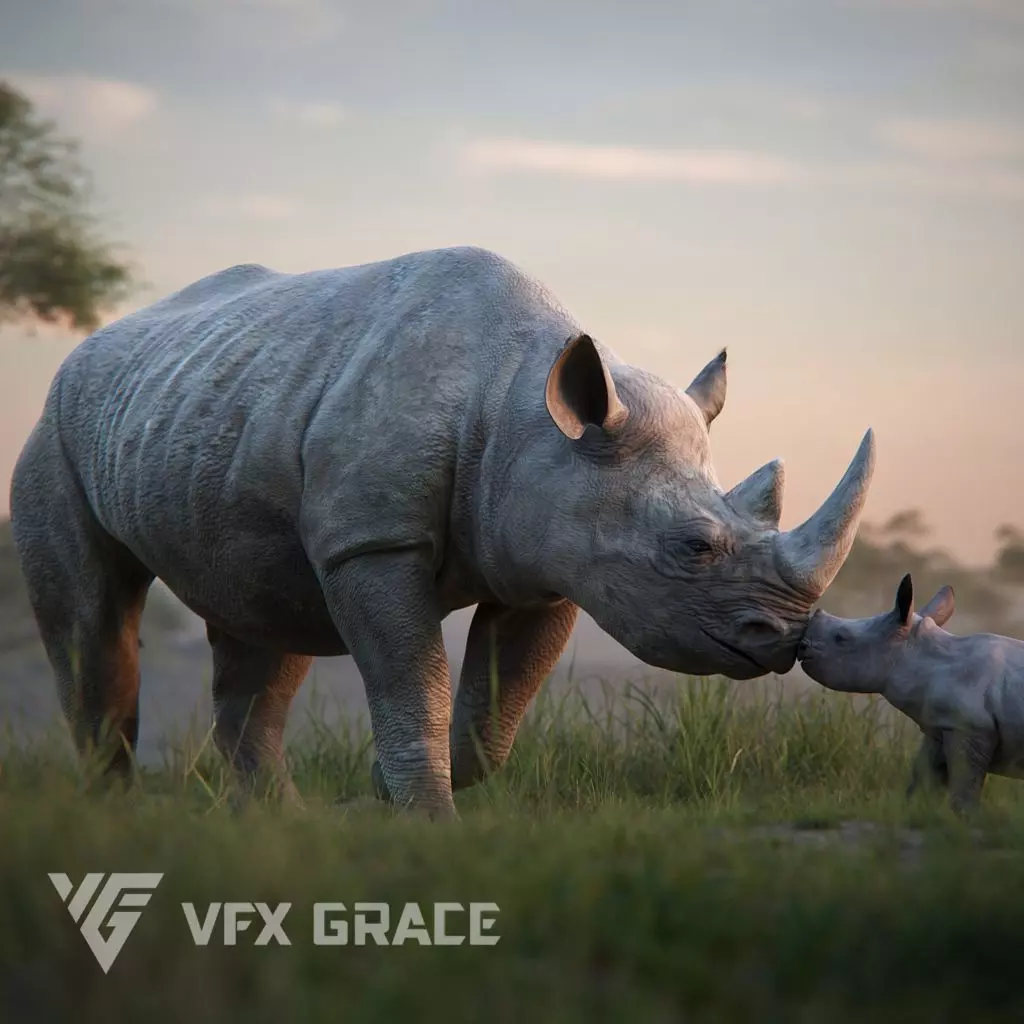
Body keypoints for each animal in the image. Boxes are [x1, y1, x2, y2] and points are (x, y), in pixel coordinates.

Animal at [9, 246, 876, 815]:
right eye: (693, 548)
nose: (784, 638)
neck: (527, 415)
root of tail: (90, 347)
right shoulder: (373, 538)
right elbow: (411, 673)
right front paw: (427, 816)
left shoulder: (555, 559)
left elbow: (499, 701)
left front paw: (390, 798)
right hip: (57, 428)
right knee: (96, 620)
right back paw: (114, 816)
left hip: (213, 398)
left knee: (264, 618)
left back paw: (275, 823)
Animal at [798, 573, 1024, 812]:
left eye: (841, 638)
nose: (801, 646)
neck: (919, 655)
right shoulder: (943, 723)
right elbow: (922, 778)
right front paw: (914, 809)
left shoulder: (970, 726)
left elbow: (963, 788)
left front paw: (965, 816)